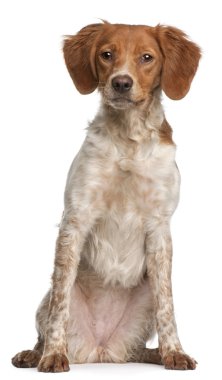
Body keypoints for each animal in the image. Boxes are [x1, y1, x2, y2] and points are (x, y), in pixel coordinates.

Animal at [11, 21, 201, 372]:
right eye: (107, 54)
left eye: (147, 57)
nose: (121, 83)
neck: (128, 139)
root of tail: (101, 351)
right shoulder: (75, 220)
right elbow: (60, 307)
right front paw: (53, 355)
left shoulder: (159, 227)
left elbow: (168, 306)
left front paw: (175, 352)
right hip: (45, 300)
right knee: (48, 320)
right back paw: (34, 353)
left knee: (137, 348)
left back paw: (156, 354)